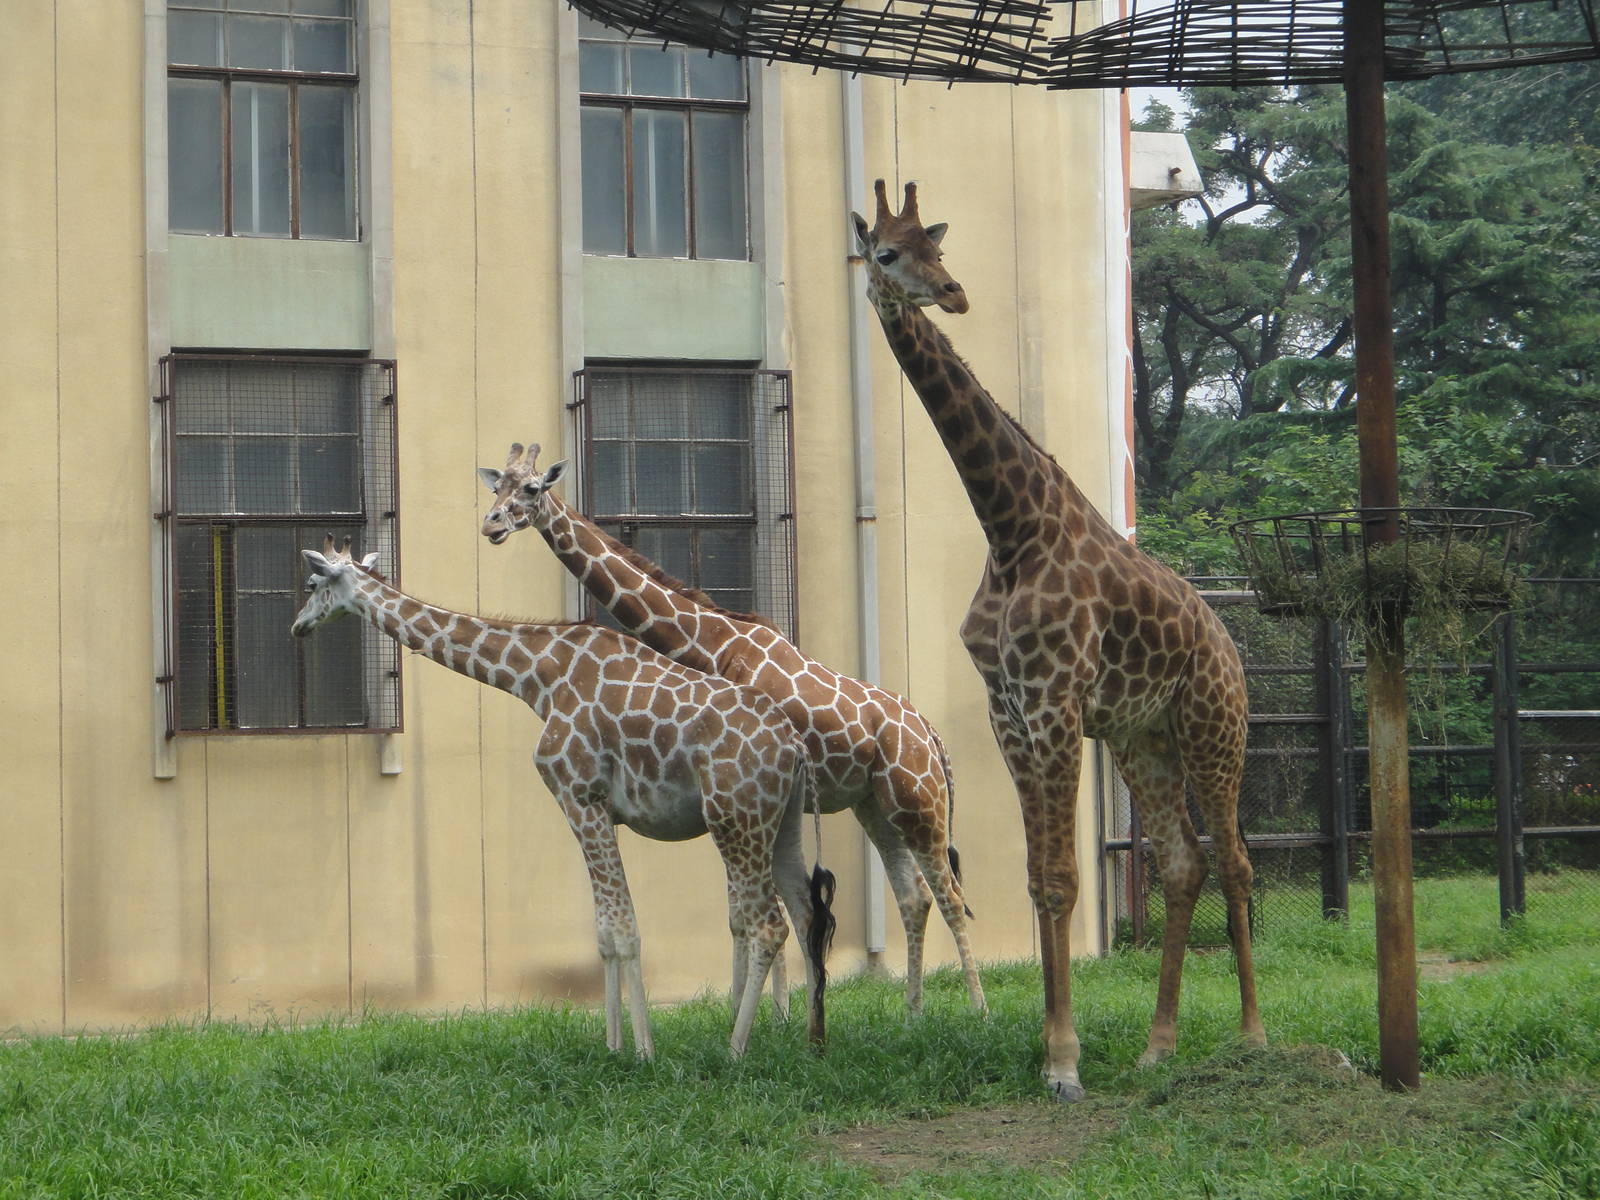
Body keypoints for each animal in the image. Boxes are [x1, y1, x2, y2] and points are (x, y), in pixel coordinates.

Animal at [289, 535, 835, 1057]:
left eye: (313, 583)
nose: (298, 626)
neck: (538, 678)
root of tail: (793, 748)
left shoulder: (580, 796)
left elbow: (623, 929)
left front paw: (644, 1051)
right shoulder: (596, 810)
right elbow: (604, 933)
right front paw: (613, 1045)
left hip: (735, 818)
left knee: (768, 924)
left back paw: (735, 1050)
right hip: (781, 823)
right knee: (804, 914)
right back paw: (813, 1037)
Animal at [478, 443, 986, 1015]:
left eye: (530, 489)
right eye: (495, 487)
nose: (491, 524)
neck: (713, 642)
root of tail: (933, 739)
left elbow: (760, 909)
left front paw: (774, 1015)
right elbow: (746, 912)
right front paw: (776, 1014)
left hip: (919, 801)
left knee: (950, 893)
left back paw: (977, 1008)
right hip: (876, 805)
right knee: (914, 894)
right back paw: (913, 1013)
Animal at [850, 180, 1264, 1101]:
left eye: (934, 248)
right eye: (886, 254)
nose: (955, 294)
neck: (1010, 528)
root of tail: (1227, 639)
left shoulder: (1056, 703)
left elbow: (1068, 880)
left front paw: (1068, 1064)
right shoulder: (1011, 713)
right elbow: (1041, 881)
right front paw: (1048, 1049)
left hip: (1213, 728)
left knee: (1234, 861)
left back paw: (1255, 1035)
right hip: (1145, 739)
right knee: (1181, 863)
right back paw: (1158, 1047)